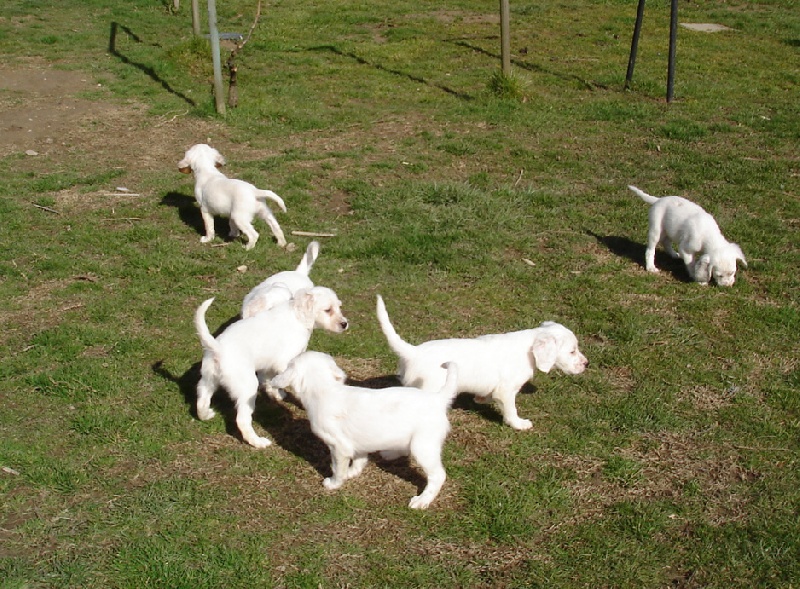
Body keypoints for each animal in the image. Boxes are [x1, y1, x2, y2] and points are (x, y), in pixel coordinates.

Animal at [193, 288, 346, 448]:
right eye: (328, 310)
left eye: (339, 306)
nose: (345, 324)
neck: (297, 315)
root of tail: (218, 348)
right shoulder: (286, 362)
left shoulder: (270, 365)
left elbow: (270, 380)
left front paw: (276, 394)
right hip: (247, 388)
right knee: (242, 420)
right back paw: (257, 442)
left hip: (208, 380)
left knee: (201, 400)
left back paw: (206, 414)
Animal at [270, 352, 460, 508]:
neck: (324, 389)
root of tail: (438, 398)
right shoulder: (356, 444)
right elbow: (359, 460)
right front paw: (352, 473)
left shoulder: (338, 447)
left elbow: (337, 468)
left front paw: (334, 483)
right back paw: (389, 454)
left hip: (422, 447)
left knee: (438, 475)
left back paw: (422, 500)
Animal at [376, 296, 588, 430]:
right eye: (572, 351)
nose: (587, 364)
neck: (528, 347)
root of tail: (413, 352)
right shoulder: (506, 390)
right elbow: (511, 409)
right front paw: (519, 424)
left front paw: (480, 399)